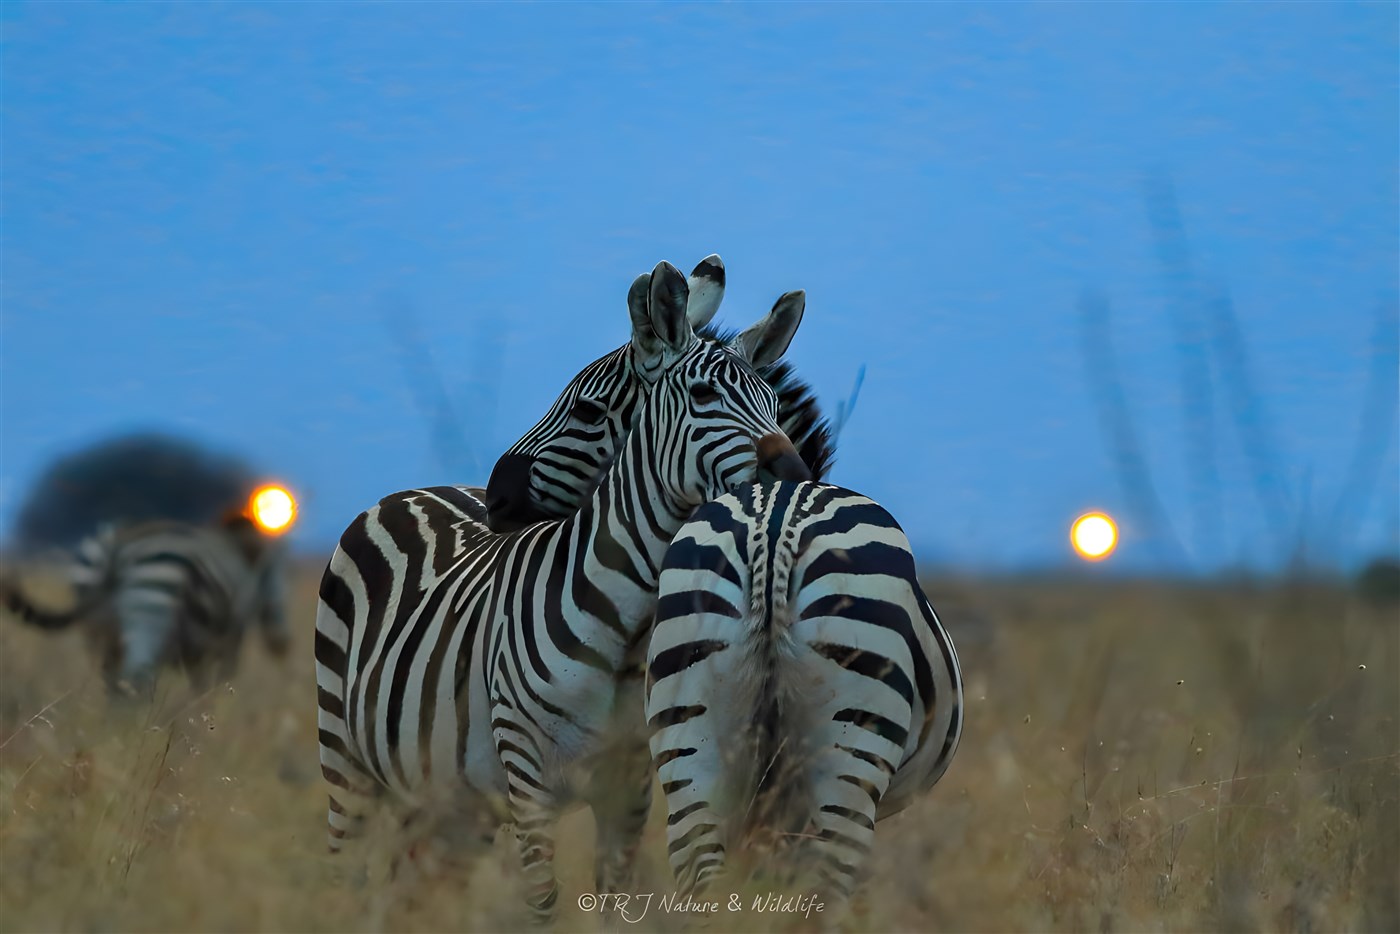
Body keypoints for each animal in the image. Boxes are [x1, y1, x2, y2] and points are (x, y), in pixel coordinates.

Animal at [1, 510, 290, 696]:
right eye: (276, 573)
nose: (282, 645)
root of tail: (117, 542)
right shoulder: (222, 647)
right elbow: (205, 696)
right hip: (151, 605)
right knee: (135, 678)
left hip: (98, 626)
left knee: (114, 682)